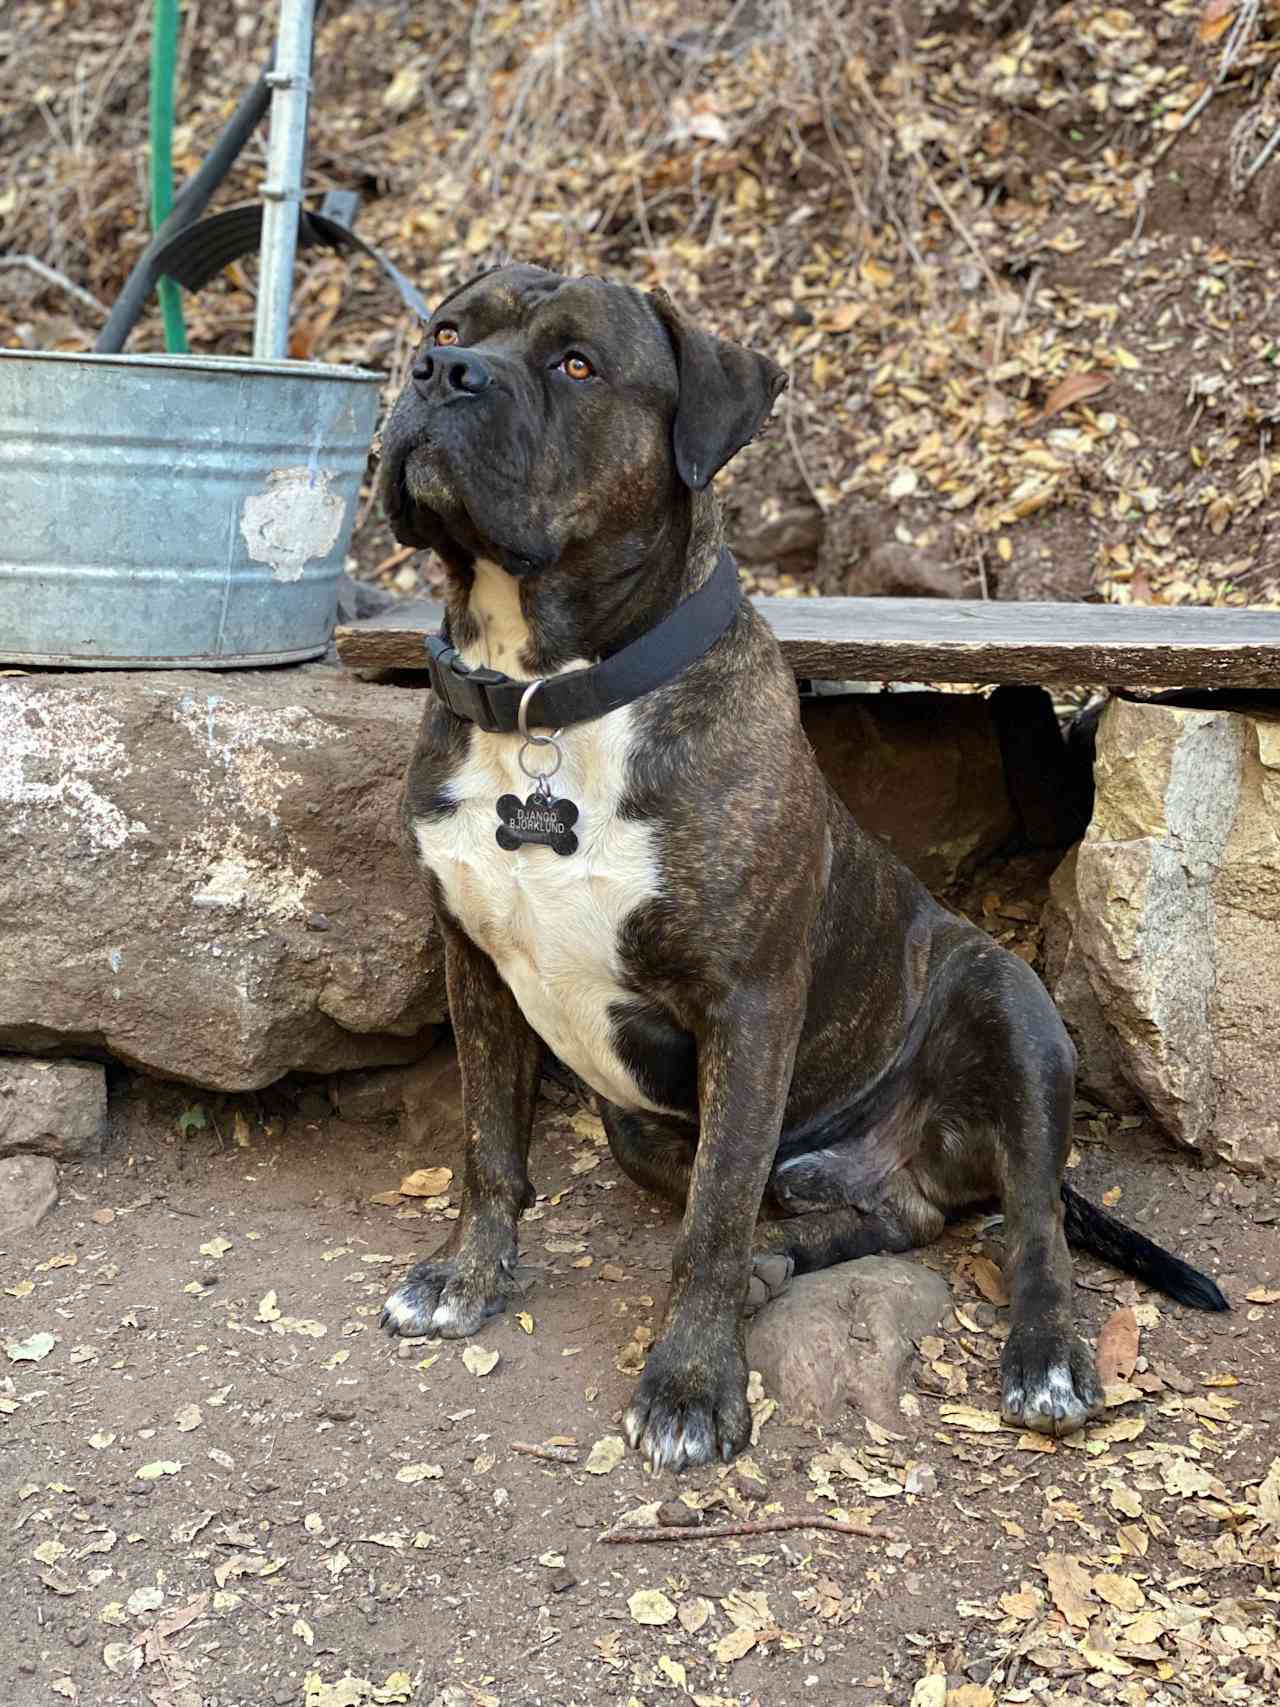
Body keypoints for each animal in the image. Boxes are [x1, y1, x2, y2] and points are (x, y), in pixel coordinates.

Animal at [373, 262, 1235, 1468]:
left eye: (576, 364)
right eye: (449, 327)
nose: (438, 372)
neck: (552, 697)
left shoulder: (748, 1004)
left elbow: (714, 1213)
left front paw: (691, 1384)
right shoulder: (475, 965)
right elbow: (489, 1142)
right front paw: (467, 1277)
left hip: (1010, 1010)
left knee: (1028, 1223)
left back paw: (1044, 1355)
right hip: (650, 1126)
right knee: (884, 1219)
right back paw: (787, 1259)